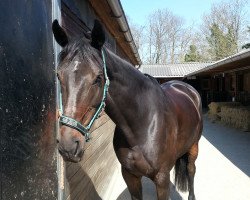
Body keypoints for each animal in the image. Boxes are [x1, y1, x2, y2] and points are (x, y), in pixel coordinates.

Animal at [51, 19, 202, 200]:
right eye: (59, 76)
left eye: (98, 78)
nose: (68, 146)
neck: (143, 124)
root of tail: (185, 87)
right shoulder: (130, 175)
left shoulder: (162, 178)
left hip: (194, 146)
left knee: (191, 170)